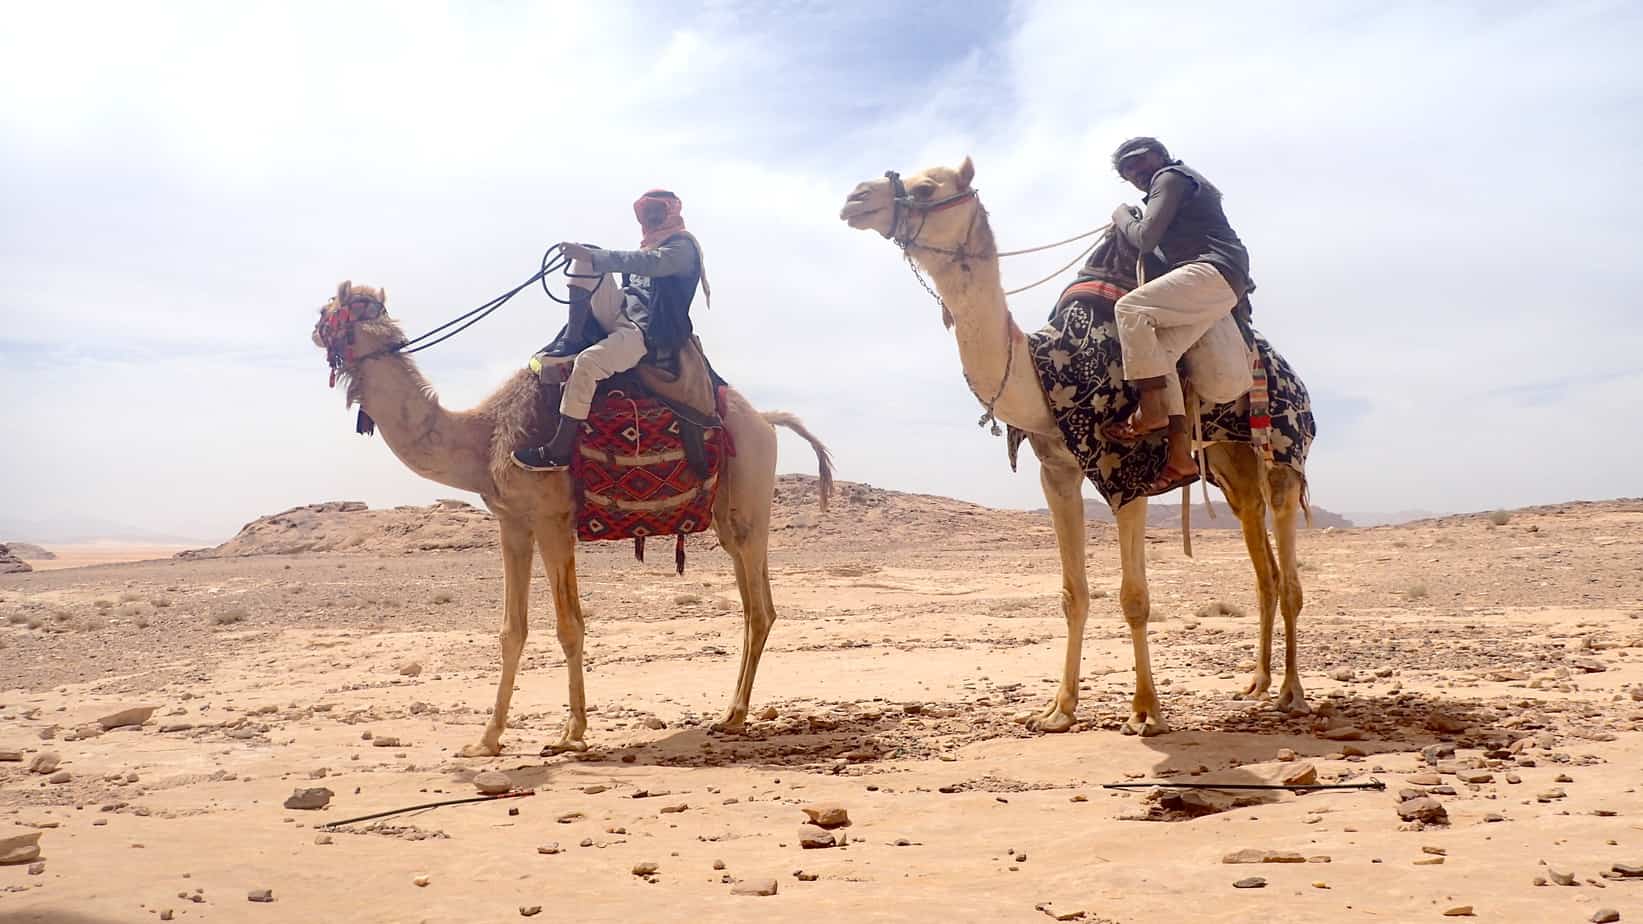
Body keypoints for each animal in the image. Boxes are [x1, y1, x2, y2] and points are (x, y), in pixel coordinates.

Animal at [312, 276, 834, 753]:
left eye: (326, 311)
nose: (314, 332)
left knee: (757, 610)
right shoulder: (512, 521)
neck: (484, 439)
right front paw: (486, 740)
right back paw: (731, 713)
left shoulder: (552, 518)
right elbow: (512, 630)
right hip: (734, 515)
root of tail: (766, 421)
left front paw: (571, 734)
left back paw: (734, 715)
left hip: (748, 498)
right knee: (758, 604)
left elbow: (568, 626)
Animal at [847, 157, 1307, 733]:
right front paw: (1057, 709)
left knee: (1289, 578)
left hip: (1283, 451)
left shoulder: (1130, 474)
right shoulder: (1057, 471)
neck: (1045, 368)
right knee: (1263, 568)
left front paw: (1146, 712)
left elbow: (1134, 597)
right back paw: (1257, 682)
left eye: (928, 188)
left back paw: (1291, 692)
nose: (855, 198)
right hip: (1232, 462)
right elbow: (1073, 594)